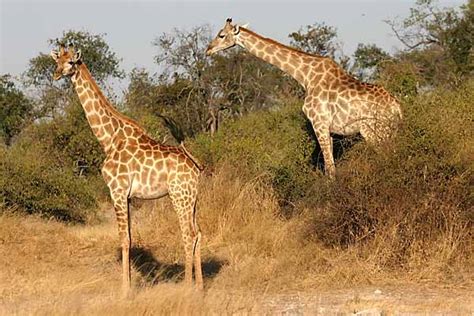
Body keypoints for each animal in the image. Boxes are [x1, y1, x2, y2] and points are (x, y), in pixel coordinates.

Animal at [51, 44, 205, 296]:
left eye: (71, 62)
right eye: (57, 61)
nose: (56, 74)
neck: (108, 138)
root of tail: (196, 167)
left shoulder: (117, 191)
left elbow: (123, 239)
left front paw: (125, 291)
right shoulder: (129, 196)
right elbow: (131, 238)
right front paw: (130, 285)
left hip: (179, 196)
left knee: (188, 234)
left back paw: (187, 287)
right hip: (192, 198)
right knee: (198, 233)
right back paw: (199, 287)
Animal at [206, 18, 402, 179]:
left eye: (221, 35)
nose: (208, 50)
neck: (306, 76)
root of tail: (397, 108)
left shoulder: (319, 123)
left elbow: (330, 169)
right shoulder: (329, 130)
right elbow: (330, 165)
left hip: (375, 131)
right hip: (389, 131)